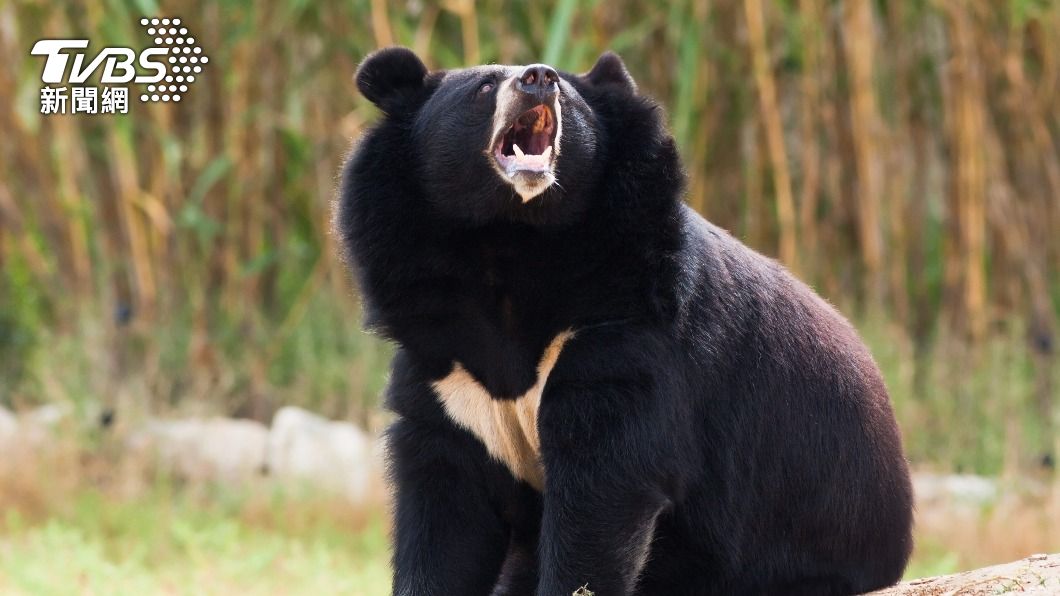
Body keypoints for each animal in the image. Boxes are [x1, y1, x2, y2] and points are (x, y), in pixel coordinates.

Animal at [337, 47, 914, 596]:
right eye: (482, 87)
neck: (509, 240)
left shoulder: (625, 327)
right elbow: (445, 509)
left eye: (568, 95)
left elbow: (605, 485)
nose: (538, 77)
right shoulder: (444, 368)